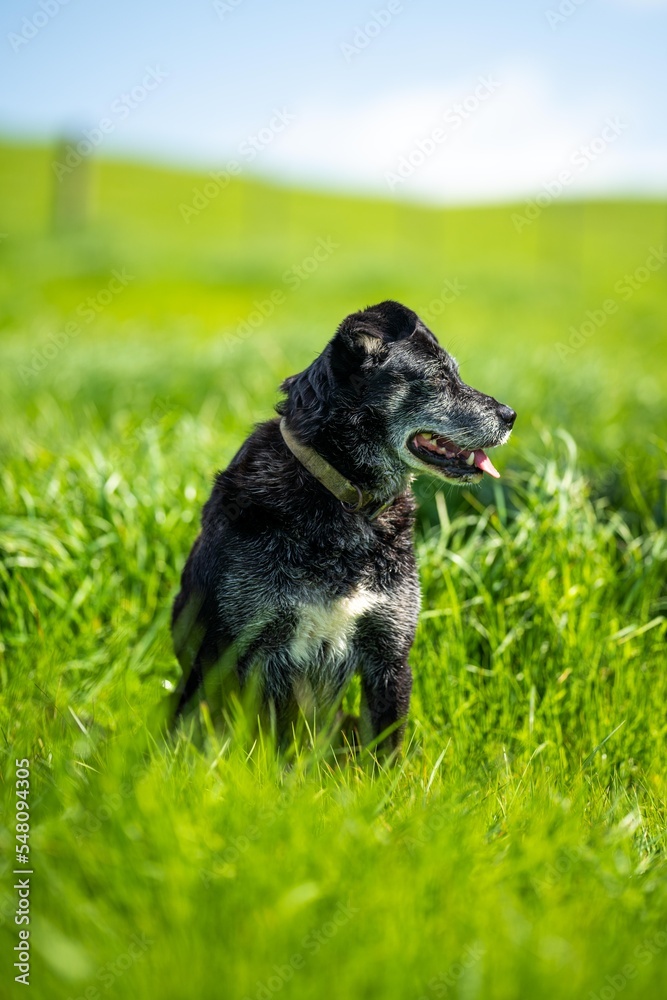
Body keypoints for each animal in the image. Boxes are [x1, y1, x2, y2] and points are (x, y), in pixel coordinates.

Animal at [172, 300, 516, 752]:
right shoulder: (246, 654)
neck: (345, 500)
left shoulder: (389, 655)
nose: (511, 415)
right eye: (440, 378)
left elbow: (385, 752)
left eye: (455, 374)